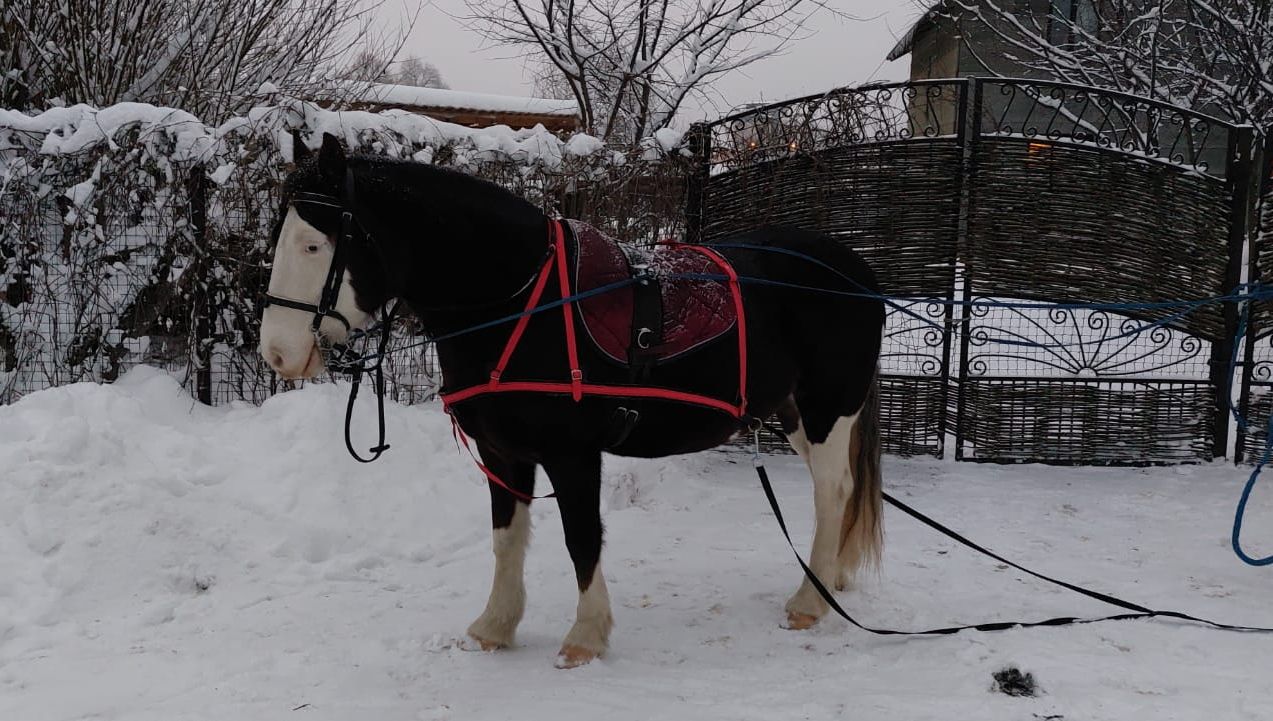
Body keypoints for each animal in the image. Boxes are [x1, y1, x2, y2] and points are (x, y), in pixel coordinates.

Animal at [253, 133, 880, 667]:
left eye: (314, 244)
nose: (278, 354)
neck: (524, 301)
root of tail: (852, 268)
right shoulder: (504, 452)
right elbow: (507, 537)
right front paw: (495, 626)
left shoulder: (573, 454)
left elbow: (581, 537)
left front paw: (586, 636)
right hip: (795, 414)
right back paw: (831, 577)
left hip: (828, 409)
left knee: (833, 490)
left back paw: (810, 601)